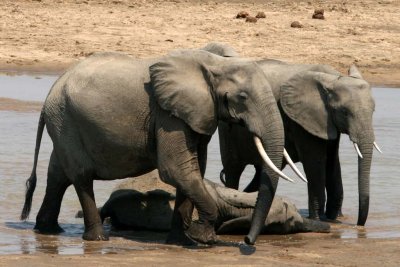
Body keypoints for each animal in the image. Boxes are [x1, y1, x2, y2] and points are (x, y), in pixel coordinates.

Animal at [19, 49, 294, 246]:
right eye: (243, 97)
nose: (247, 241)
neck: (214, 64)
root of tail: (51, 93)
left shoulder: (197, 114)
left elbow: (193, 169)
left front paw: (182, 242)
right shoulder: (168, 115)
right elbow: (176, 170)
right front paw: (203, 239)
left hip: (64, 123)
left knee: (58, 176)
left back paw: (47, 230)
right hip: (66, 121)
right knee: (81, 176)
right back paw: (97, 239)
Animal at [219, 58, 378, 226]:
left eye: (373, 110)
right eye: (344, 112)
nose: (359, 225)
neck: (332, 79)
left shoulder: (327, 121)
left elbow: (332, 162)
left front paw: (334, 219)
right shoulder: (302, 119)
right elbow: (315, 162)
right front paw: (319, 219)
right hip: (227, 130)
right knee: (233, 170)